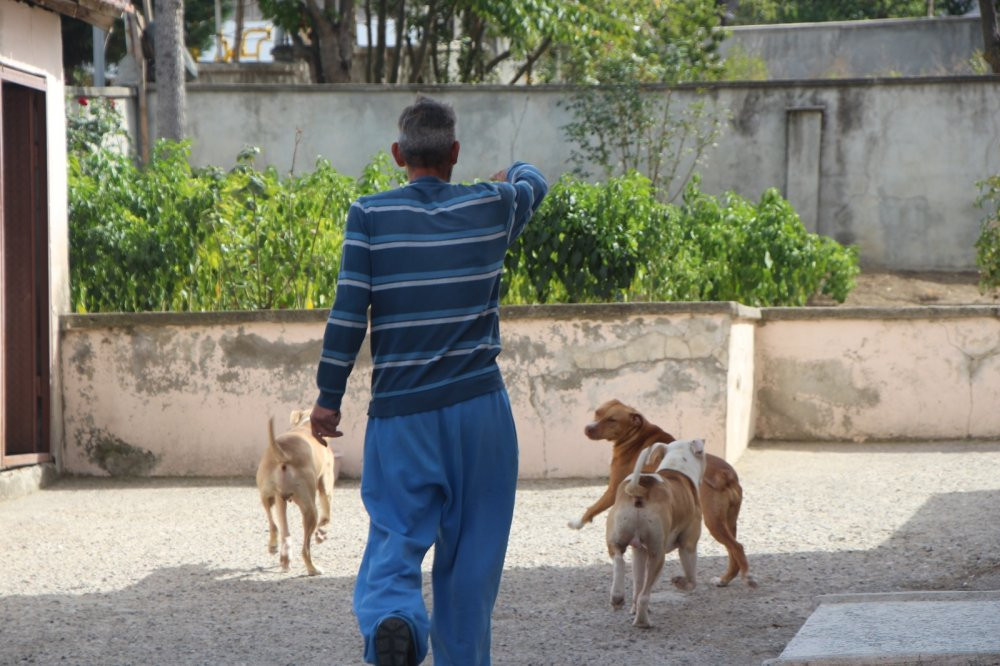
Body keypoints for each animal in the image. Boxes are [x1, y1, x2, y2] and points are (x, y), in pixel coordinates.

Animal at [256, 408, 338, 572]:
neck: (306, 425)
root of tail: (284, 454)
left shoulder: (280, 500)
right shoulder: (326, 487)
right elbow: (326, 518)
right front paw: (321, 535)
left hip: (267, 496)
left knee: (276, 527)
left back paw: (279, 552)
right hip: (310, 509)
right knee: (305, 549)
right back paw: (313, 569)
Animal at [572, 396, 756, 584]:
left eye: (612, 420)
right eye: (598, 413)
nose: (587, 428)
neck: (636, 436)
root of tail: (726, 474)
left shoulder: (613, 490)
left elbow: (592, 508)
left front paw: (576, 523)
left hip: (713, 521)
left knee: (737, 547)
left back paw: (744, 577)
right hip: (729, 520)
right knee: (733, 551)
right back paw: (724, 580)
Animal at [604, 438, 708, 624]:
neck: (677, 466)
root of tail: (639, 488)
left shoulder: (639, 551)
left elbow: (637, 584)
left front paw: (632, 608)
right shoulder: (688, 546)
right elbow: (692, 580)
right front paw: (681, 583)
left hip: (619, 540)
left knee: (619, 560)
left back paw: (617, 596)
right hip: (657, 555)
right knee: (645, 596)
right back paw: (642, 622)